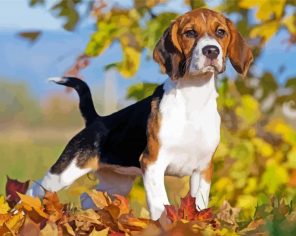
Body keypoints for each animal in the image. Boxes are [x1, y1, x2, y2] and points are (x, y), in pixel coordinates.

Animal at [27, 8, 252, 220]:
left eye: (220, 32)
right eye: (190, 33)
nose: (211, 50)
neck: (193, 97)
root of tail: (96, 120)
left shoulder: (203, 168)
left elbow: (199, 204)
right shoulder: (153, 163)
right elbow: (160, 205)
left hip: (117, 183)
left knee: (88, 197)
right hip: (63, 174)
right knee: (34, 190)